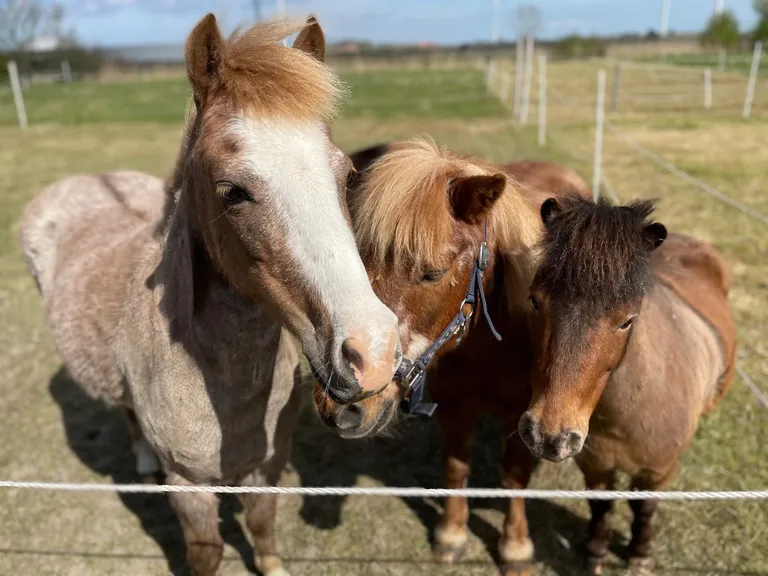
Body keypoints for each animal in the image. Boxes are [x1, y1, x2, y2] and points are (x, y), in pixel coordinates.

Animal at [20, 16, 401, 576]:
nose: (373, 353)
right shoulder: (187, 488)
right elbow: (207, 552)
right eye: (232, 191)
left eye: (347, 174)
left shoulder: (268, 467)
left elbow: (262, 529)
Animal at [312, 138, 590, 575]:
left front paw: (516, 546)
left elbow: (514, 476)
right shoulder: (454, 409)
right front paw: (452, 534)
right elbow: (456, 467)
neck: (484, 350)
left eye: (432, 273)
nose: (342, 401)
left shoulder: (521, 418)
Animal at [519, 195, 737, 574]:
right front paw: (594, 554)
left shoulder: (658, 472)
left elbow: (644, 508)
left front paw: (639, 554)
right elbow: (601, 506)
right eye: (535, 300)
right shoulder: (595, 466)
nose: (548, 435)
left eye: (627, 321)